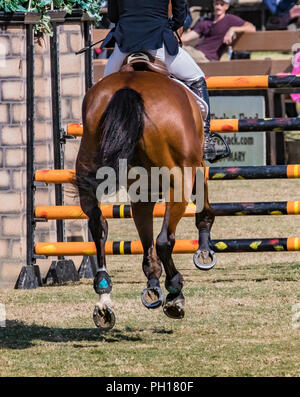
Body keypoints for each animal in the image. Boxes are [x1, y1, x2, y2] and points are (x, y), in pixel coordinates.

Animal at [75, 65, 216, 332]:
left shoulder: (142, 192)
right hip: (179, 182)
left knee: (98, 226)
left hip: (87, 170)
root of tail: (130, 90)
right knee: (164, 240)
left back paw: (104, 298)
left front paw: (152, 284)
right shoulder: (196, 168)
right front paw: (204, 251)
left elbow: (145, 239)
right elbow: (203, 210)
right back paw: (175, 293)